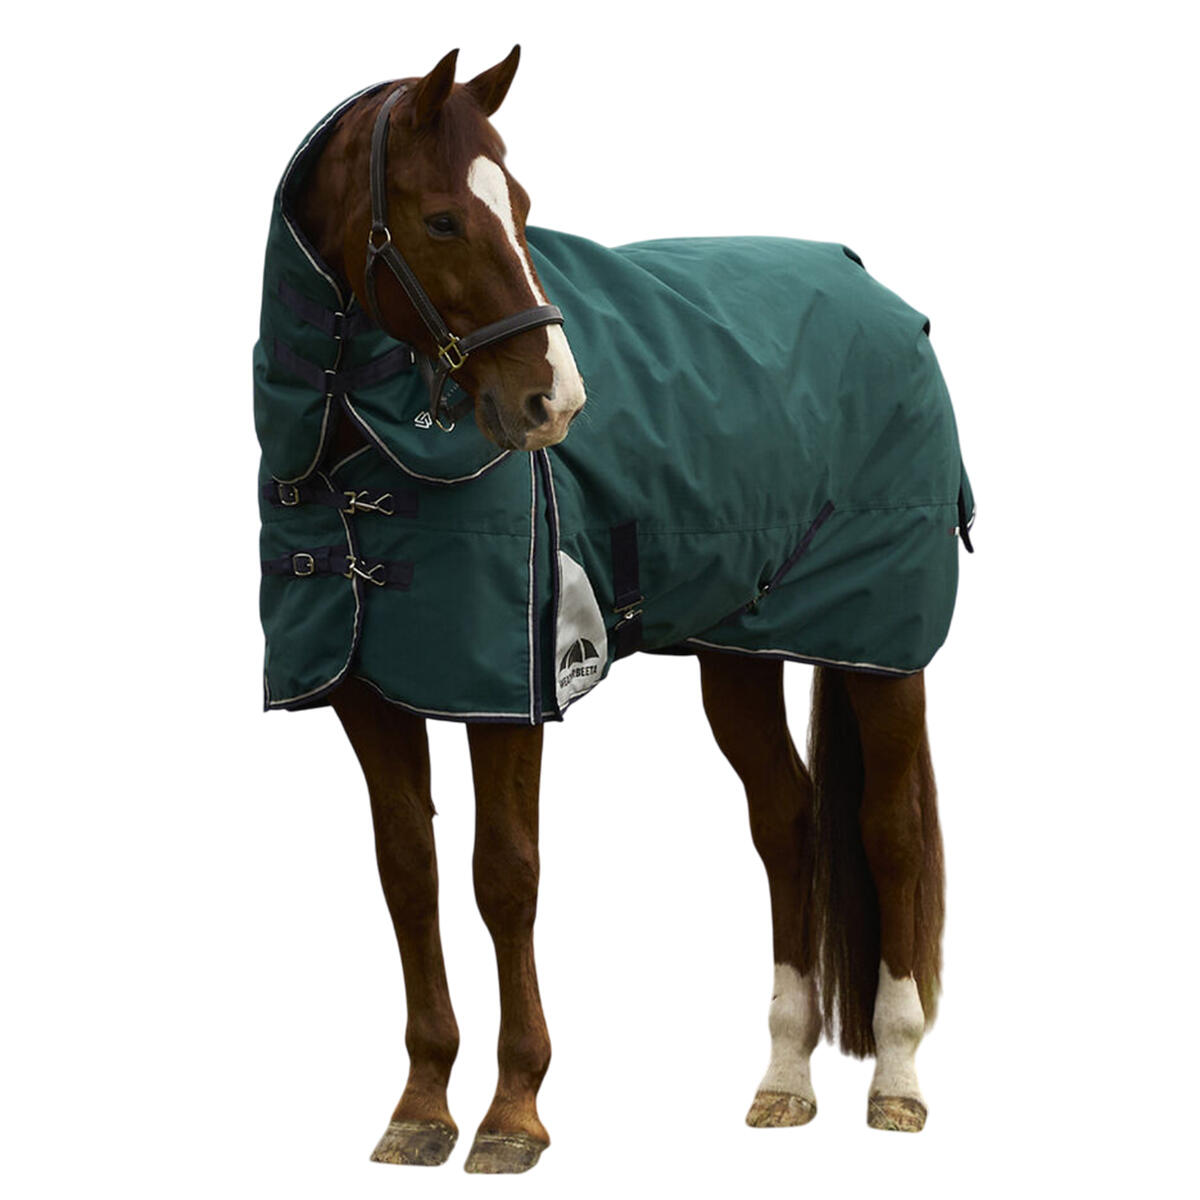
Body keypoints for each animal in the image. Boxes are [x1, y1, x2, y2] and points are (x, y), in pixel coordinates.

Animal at [255, 46, 966, 1173]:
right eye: (441, 220)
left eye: (522, 207)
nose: (556, 402)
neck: (359, 457)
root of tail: (875, 289)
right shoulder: (369, 695)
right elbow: (408, 873)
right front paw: (421, 1107)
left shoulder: (510, 691)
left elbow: (504, 876)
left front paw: (512, 1114)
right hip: (739, 650)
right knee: (789, 822)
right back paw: (783, 1078)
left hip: (881, 649)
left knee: (887, 831)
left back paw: (896, 1080)